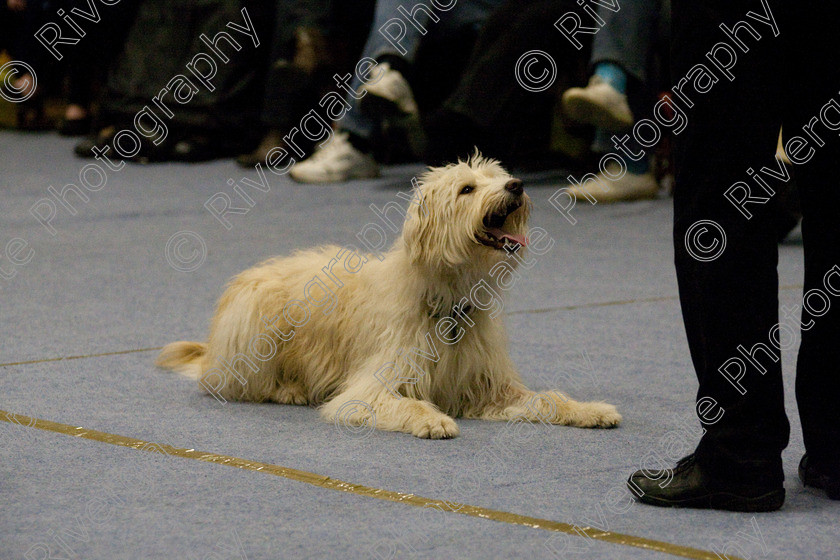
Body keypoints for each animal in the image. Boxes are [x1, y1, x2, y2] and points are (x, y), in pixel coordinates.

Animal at [154, 153, 620, 438]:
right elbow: (401, 403)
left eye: (499, 176)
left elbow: (547, 399)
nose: (517, 185)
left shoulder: (488, 388)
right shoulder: (372, 386)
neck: (447, 299)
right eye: (467, 189)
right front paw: (432, 421)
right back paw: (288, 389)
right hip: (254, 327)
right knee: (243, 384)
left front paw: (590, 410)